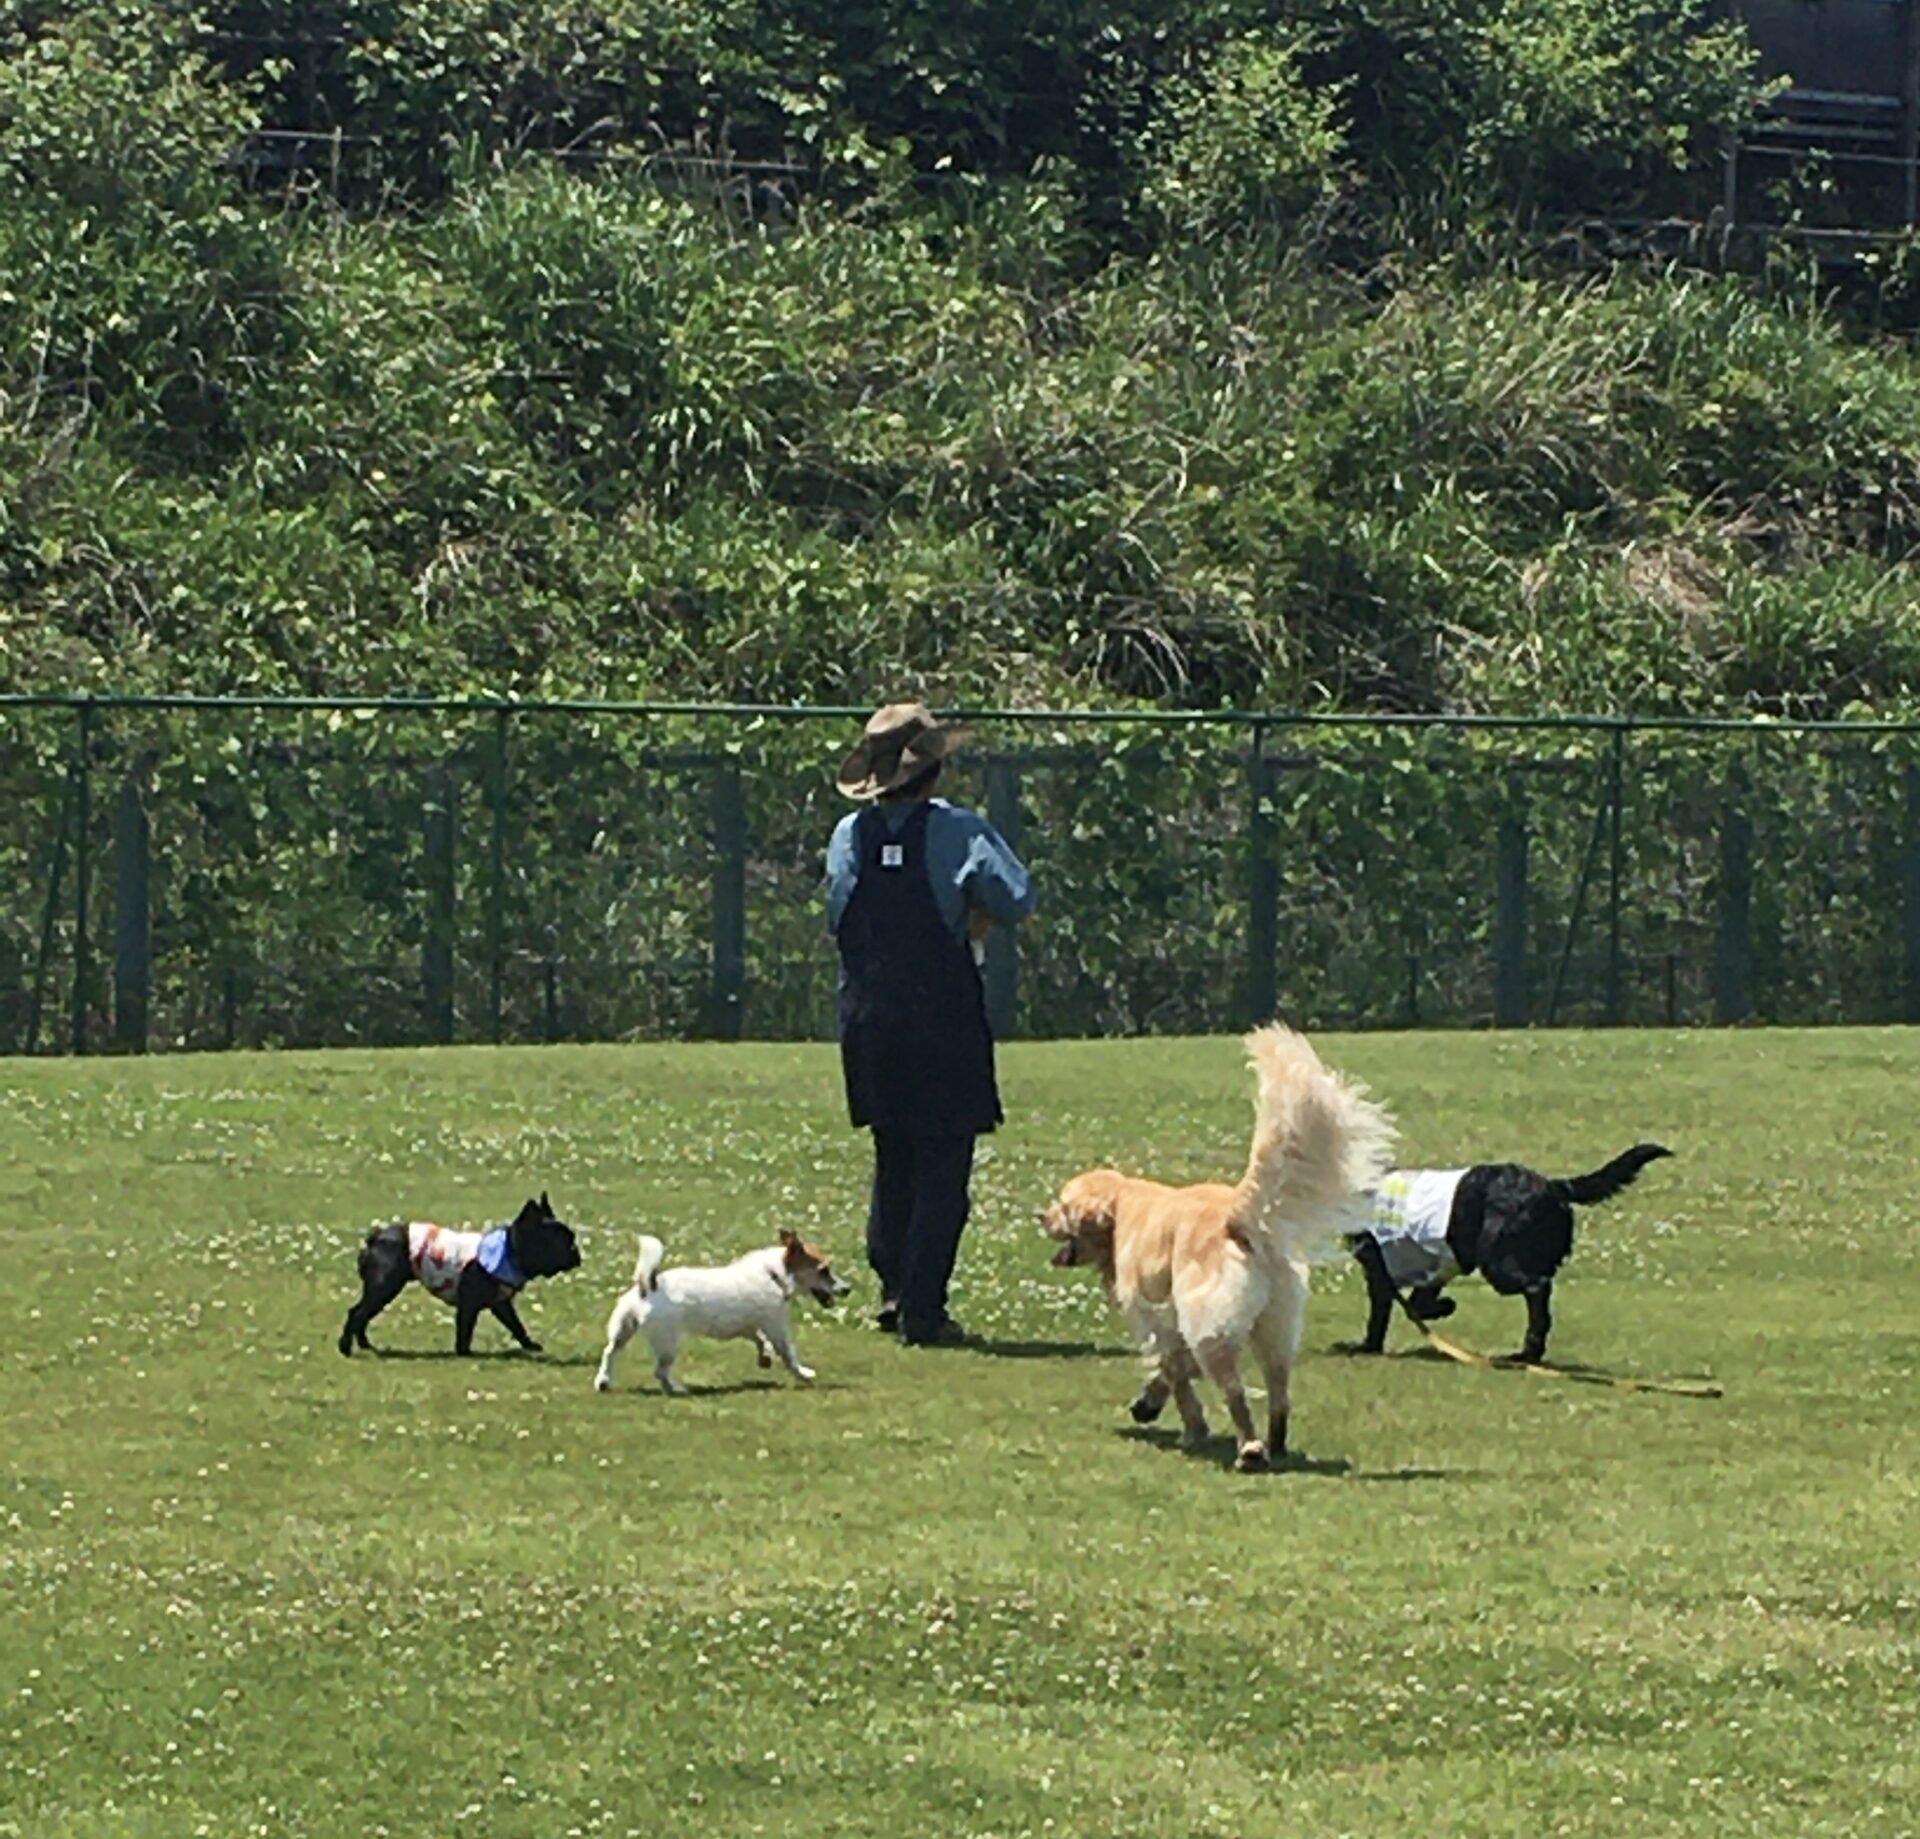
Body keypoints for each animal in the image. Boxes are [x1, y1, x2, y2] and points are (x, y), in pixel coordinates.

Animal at [337, 1192, 581, 1358]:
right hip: (384, 1286)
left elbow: (516, 1325)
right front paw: (464, 1352)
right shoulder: (469, 1304)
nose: (576, 1251)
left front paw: (529, 1345)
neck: (510, 1250)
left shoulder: (500, 1303)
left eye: (571, 1239)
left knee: (363, 1314)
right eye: (559, 1243)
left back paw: (365, 1346)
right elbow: (465, 1329)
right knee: (357, 1312)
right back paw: (346, 1347)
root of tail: (376, 1238)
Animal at [593, 1230, 851, 1395]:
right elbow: (787, 1353)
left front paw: (764, 1357)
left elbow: (759, 1340)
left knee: (609, 1353)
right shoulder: (775, 1324)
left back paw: (603, 1381)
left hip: (623, 1329)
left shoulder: (745, 1325)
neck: (773, 1275)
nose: (847, 1289)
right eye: (824, 1270)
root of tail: (648, 1286)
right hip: (669, 1341)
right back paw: (676, 1388)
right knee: (660, 1370)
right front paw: (803, 1373)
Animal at [1042, 1024, 1395, 1473]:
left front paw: (1190, 1427)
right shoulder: (1179, 1324)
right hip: (1274, 1328)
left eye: (1062, 1205)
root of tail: (1237, 1217)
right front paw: (1148, 1402)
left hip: (1213, 1325)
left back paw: (1251, 1450)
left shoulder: (1157, 1317)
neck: (1121, 1210)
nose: (1040, 1215)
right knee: (1279, 1393)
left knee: (1236, 1393)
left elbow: (1178, 1377)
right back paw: (1276, 1445)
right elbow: (1174, 1370)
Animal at [1337, 1144, 1672, 1364]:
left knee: (1538, 1288)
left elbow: (1381, 1315)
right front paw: (1443, 1307)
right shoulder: (1441, 1262)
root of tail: (1552, 1186)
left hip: (1498, 1263)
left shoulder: (1379, 1270)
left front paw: (1365, 1346)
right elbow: (1420, 1301)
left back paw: (1528, 1351)